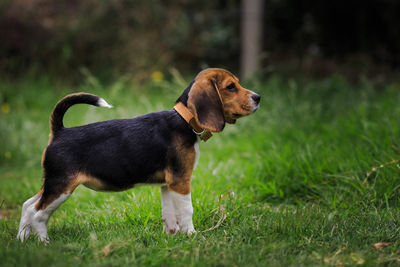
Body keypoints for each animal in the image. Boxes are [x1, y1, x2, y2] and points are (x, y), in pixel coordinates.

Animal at [17, 67, 260, 243]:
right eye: (231, 87)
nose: (258, 97)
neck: (183, 121)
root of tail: (59, 131)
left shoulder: (167, 184)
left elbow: (169, 213)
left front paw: (172, 235)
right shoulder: (181, 181)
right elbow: (186, 210)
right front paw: (192, 235)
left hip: (53, 183)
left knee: (28, 205)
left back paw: (22, 239)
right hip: (62, 186)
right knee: (38, 213)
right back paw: (44, 242)